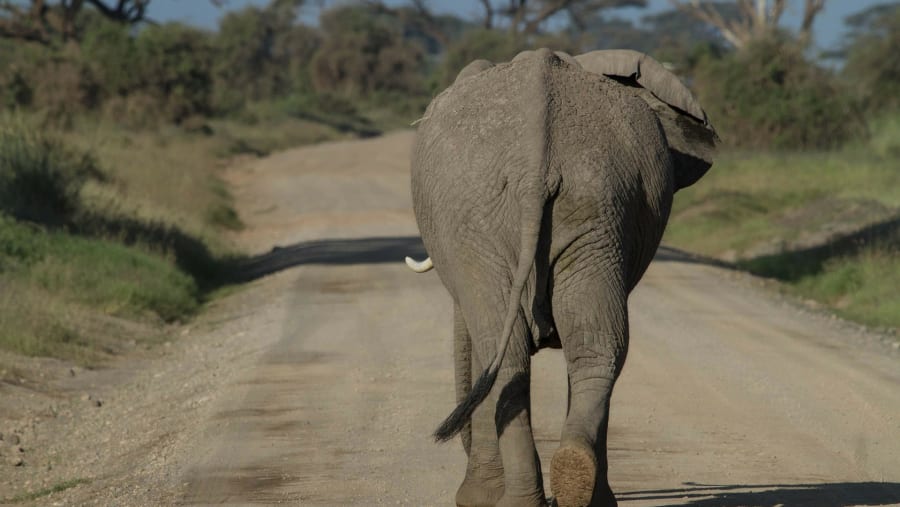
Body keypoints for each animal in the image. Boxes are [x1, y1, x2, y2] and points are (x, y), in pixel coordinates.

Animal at [406, 48, 717, 507]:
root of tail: (535, 164)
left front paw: (476, 499)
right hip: (595, 206)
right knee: (595, 344)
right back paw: (577, 481)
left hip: (491, 220)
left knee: (509, 352)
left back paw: (521, 499)